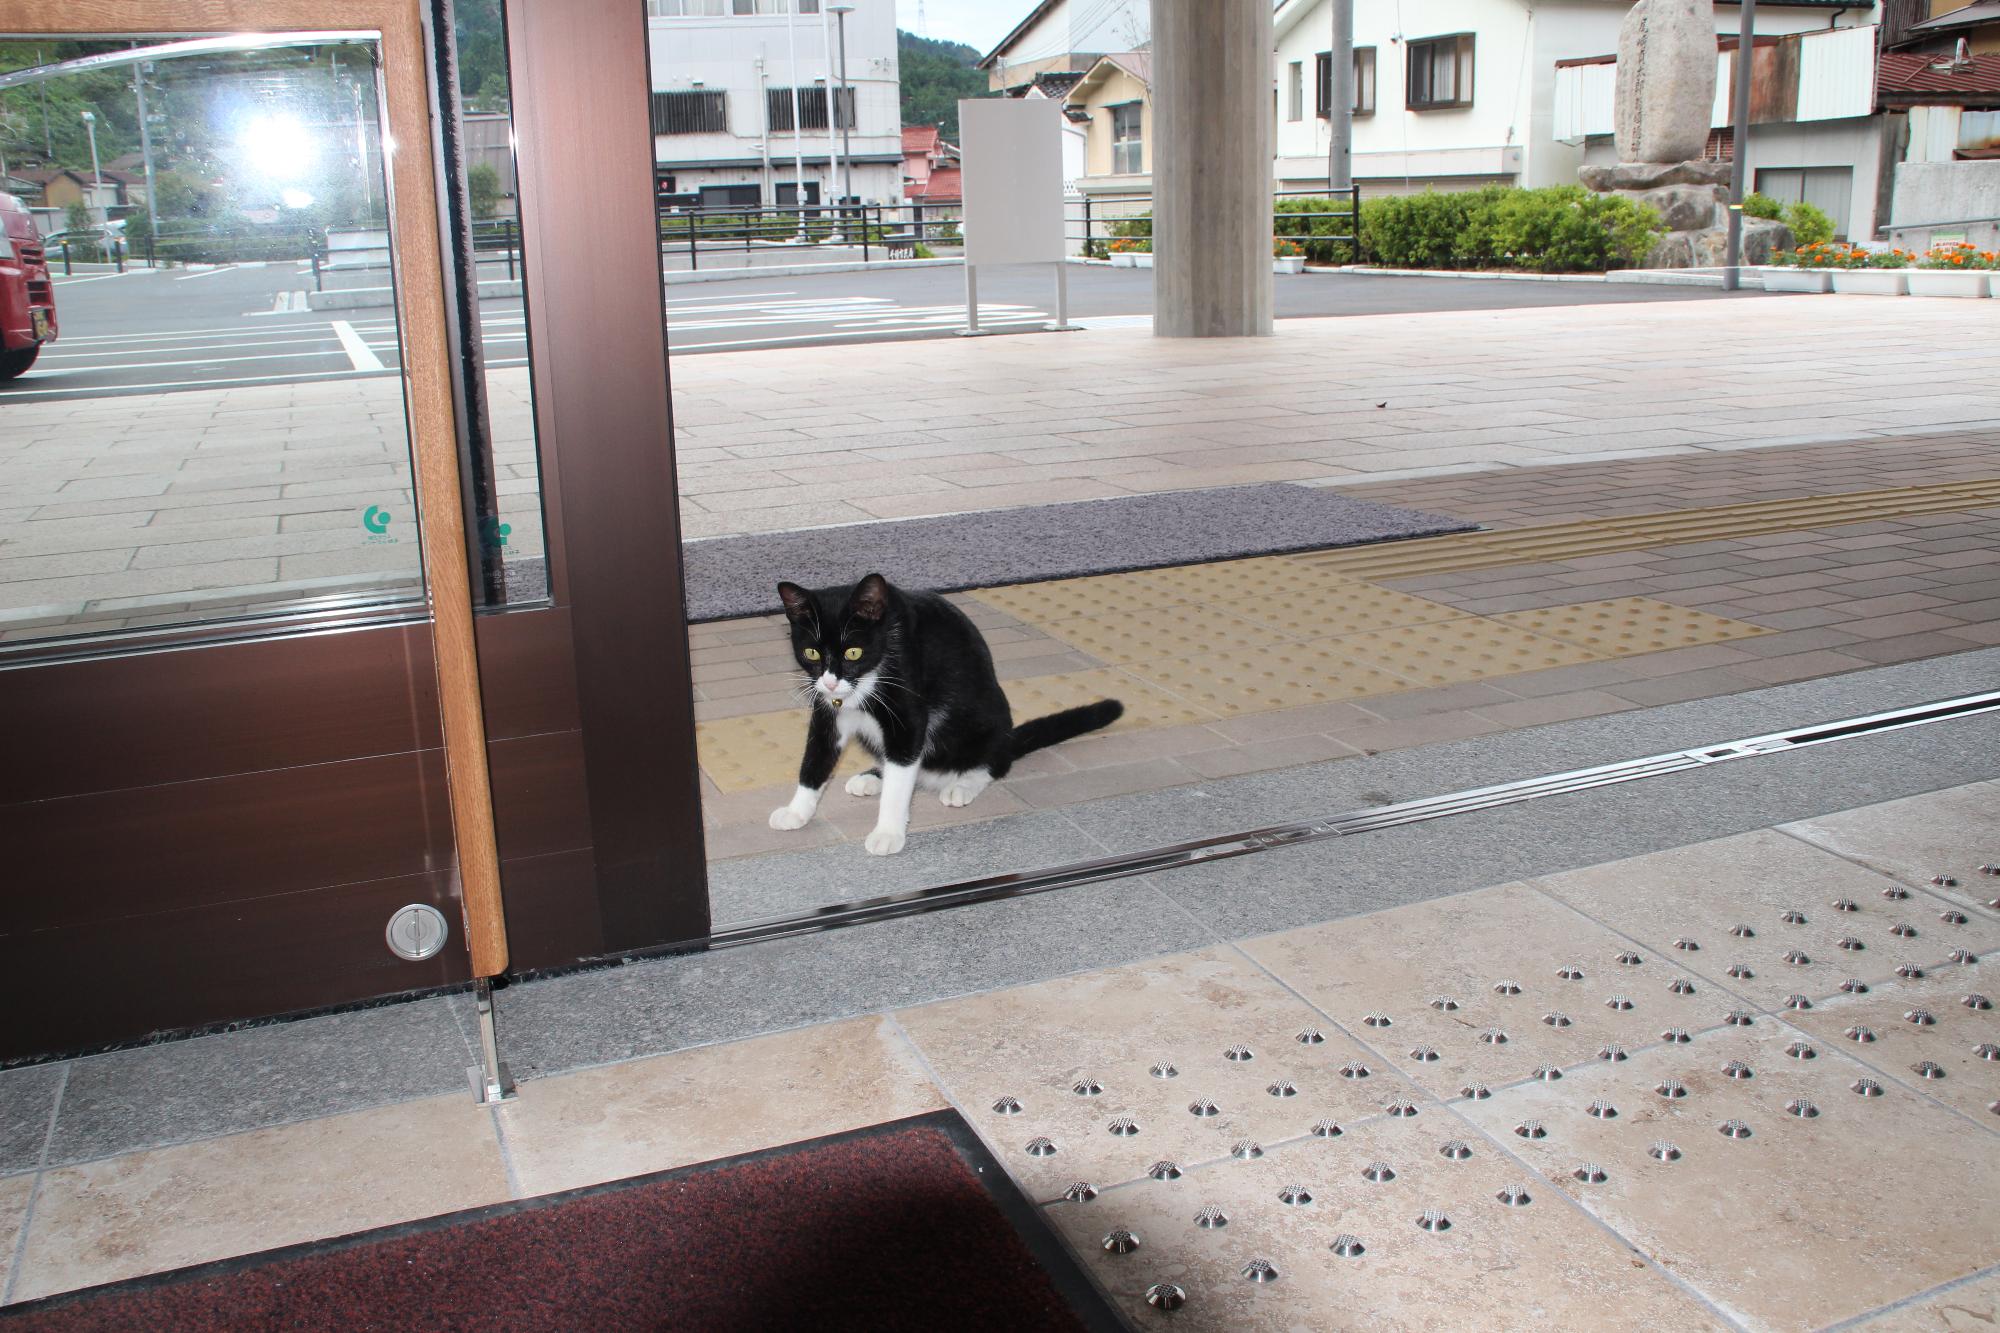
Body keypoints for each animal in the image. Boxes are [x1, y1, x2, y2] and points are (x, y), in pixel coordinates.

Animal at [764, 572, 1120, 852]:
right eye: (811, 653)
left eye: (853, 652)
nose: (831, 682)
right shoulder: (826, 712)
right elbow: (815, 760)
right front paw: (797, 811)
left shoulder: (909, 717)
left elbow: (900, 779)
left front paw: (888, 832)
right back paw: (873, 777)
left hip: (984, 724)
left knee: (994, 762)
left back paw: (962, 785)